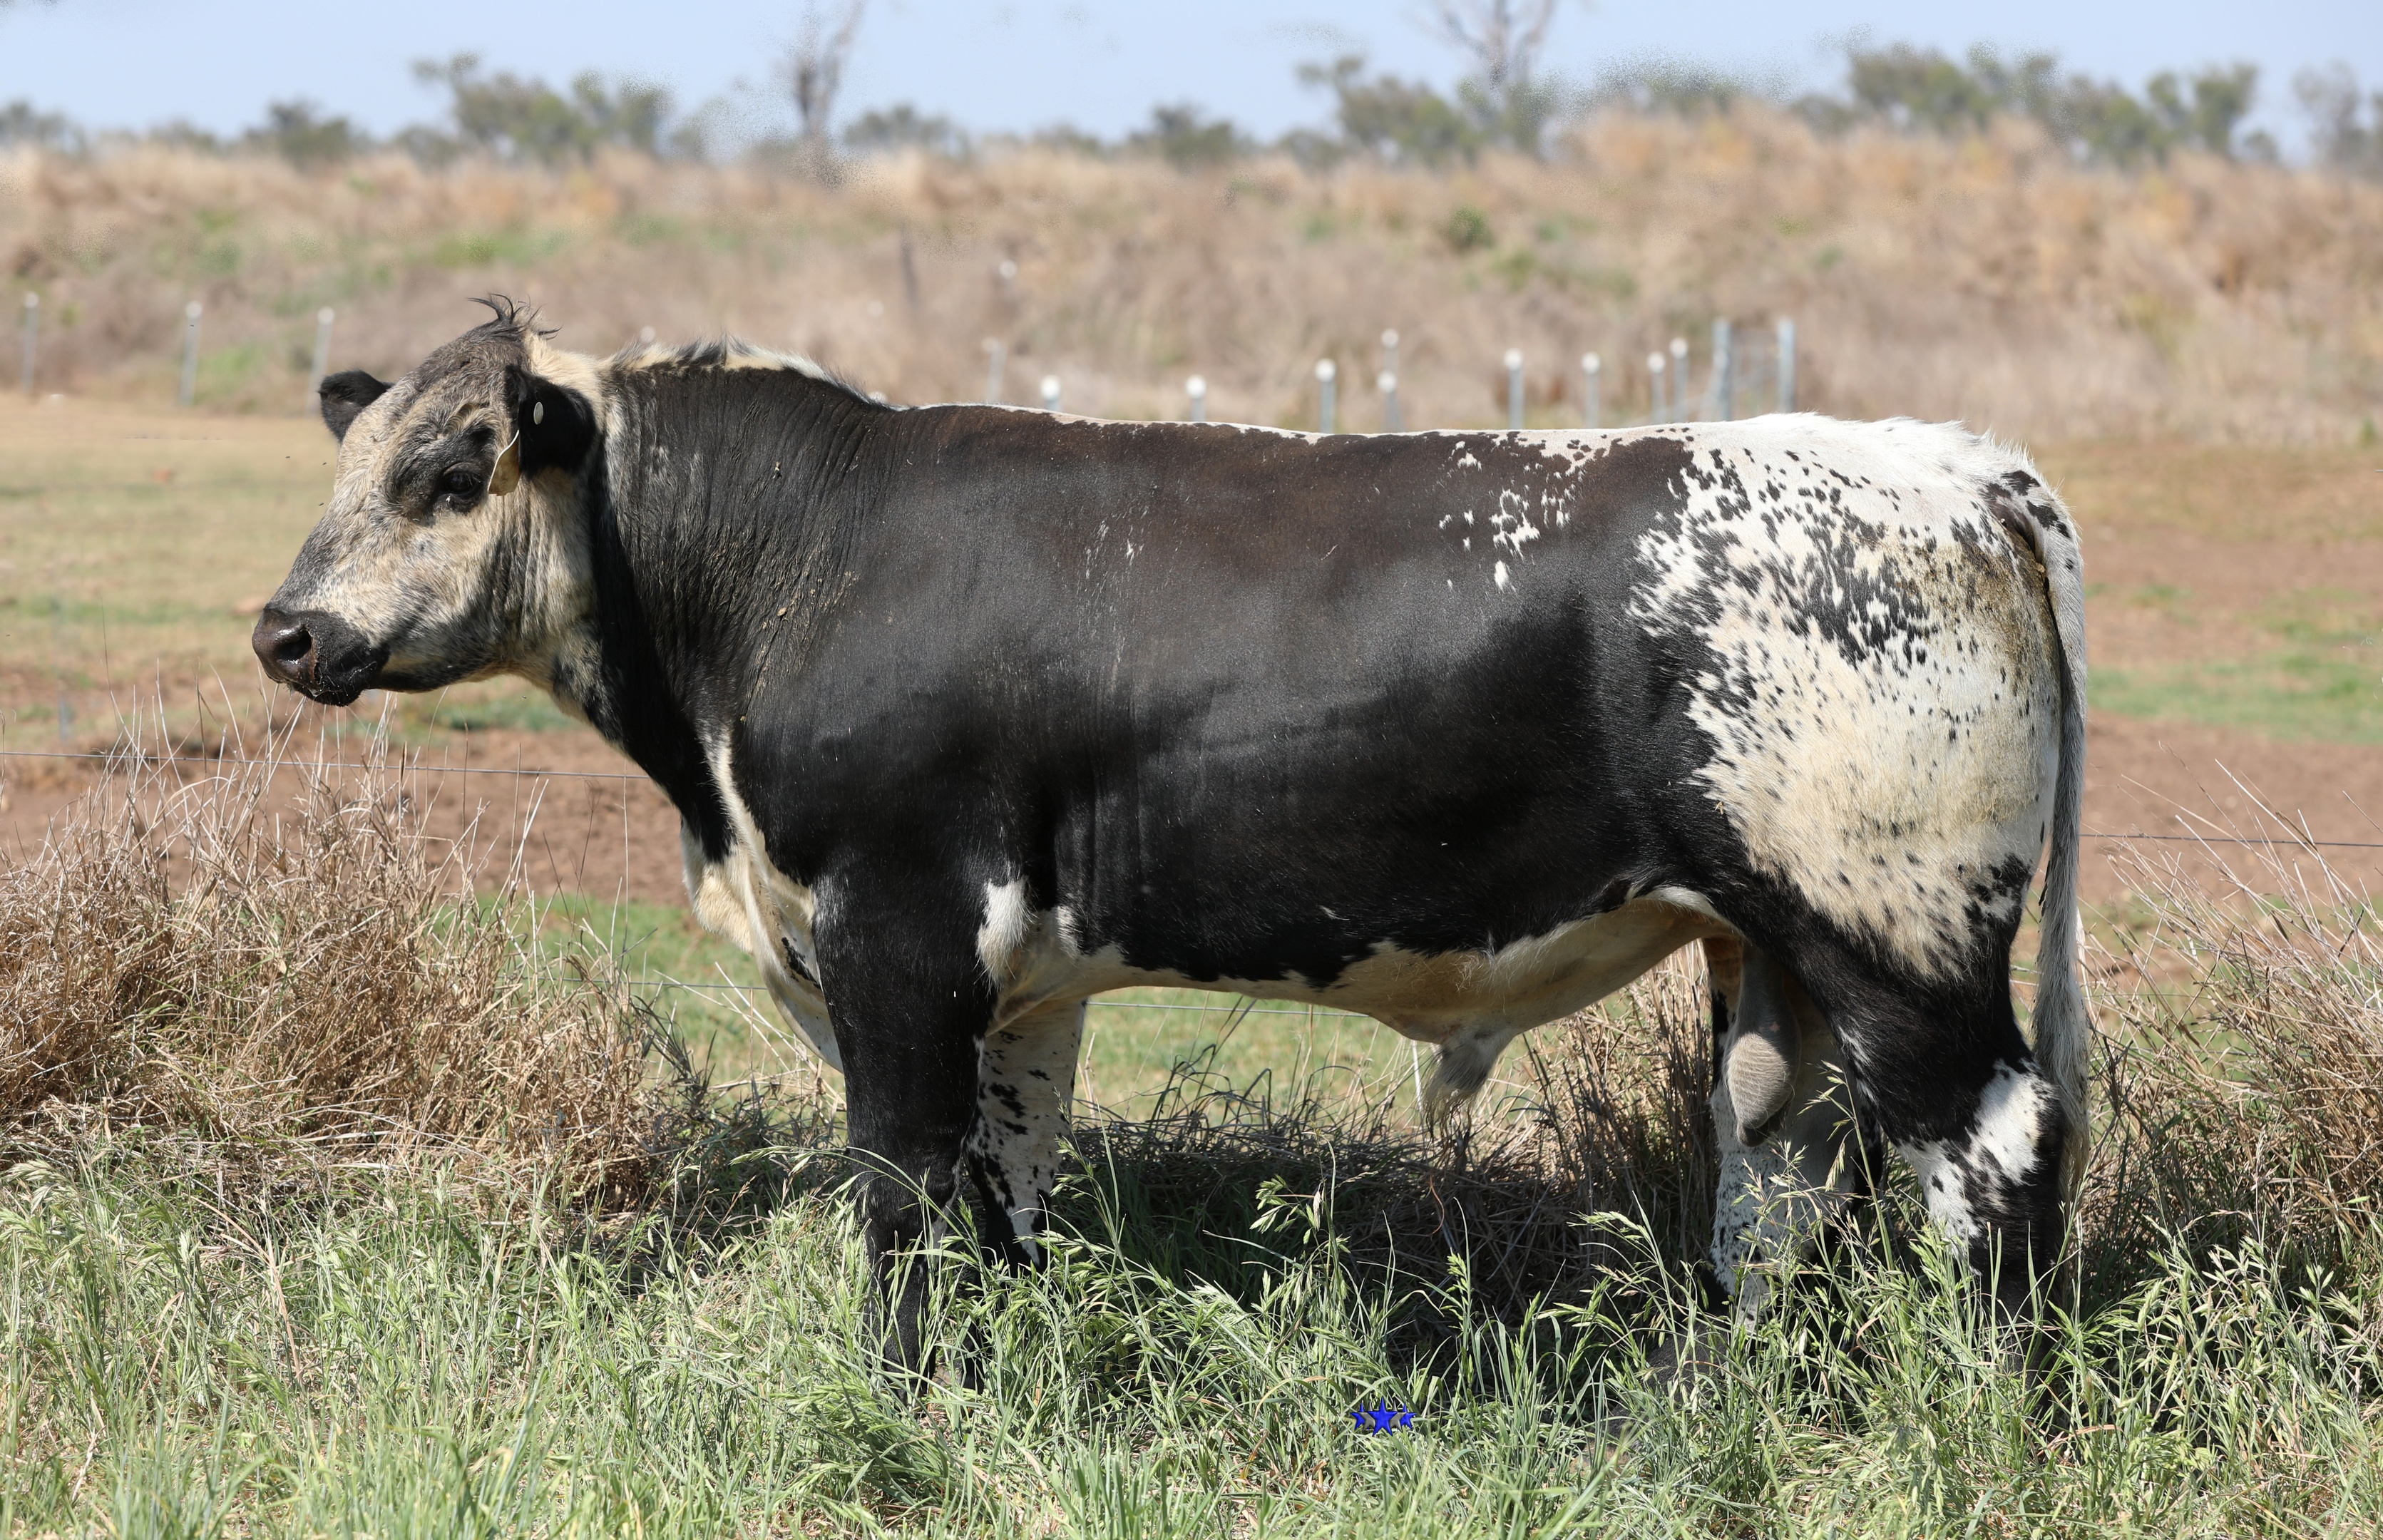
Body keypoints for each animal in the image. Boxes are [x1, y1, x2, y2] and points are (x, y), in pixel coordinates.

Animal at [253, 303, 2091, 1367]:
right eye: (352, 460)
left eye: (453, 473)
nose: (285, 631)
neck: (793, 559)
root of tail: (1947, 467)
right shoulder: (1015, 986)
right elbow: (1000, 1197)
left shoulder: (895, 930)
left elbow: (899, 1190)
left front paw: (893, 1397)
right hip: (1771, 958)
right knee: (1774, 1181)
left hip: (1895, 937)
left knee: (1994, 1149)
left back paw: (1974, 1403)